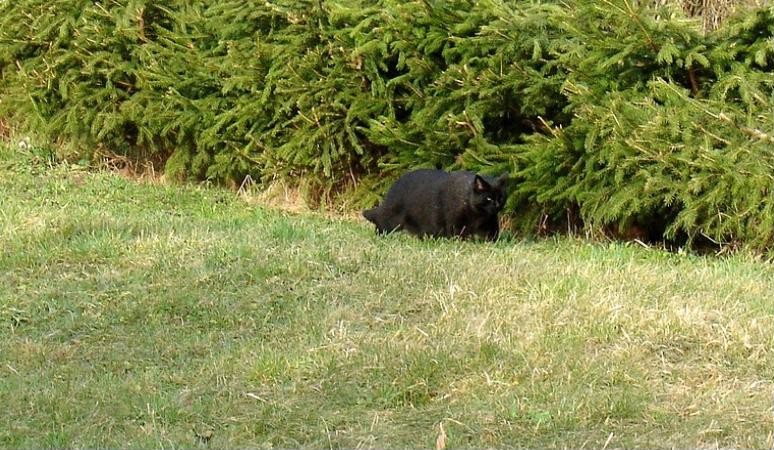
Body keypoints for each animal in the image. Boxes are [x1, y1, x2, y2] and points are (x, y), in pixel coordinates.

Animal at [364, 168, 510, 239]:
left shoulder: (490, 223)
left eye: (501, 197)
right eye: (489, 199)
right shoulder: (455, 223)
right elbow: (457, 235)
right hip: (391, 220)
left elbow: (492, 235)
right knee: (380, 223)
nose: (497, 205)